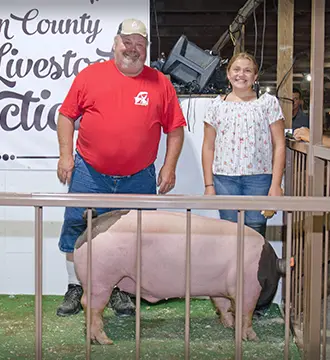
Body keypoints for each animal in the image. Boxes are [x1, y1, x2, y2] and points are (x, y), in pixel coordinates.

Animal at [73, 210, 280, 344]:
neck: (265, 264)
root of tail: (93, 223)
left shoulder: (219, 289)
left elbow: (223, 306)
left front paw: (229, 326)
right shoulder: (248, 286)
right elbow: (245, 312)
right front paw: (253, 338)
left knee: (88, 304)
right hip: (101, 279)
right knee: (92, 306)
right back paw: (105, 341)